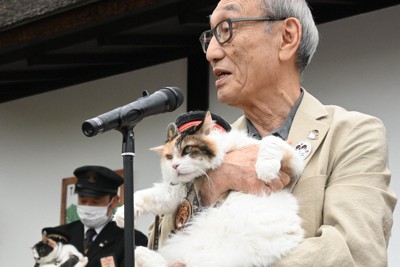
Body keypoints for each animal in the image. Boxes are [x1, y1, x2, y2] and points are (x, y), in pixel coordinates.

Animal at [114, 111, 304, 267]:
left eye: (187, 150)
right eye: (169, 157)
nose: (175, 166)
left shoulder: (293, 161)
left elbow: (271, 141)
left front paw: (266, 169)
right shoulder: (178, 191)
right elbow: (145, 196)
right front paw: (122, 214)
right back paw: (141, 253)